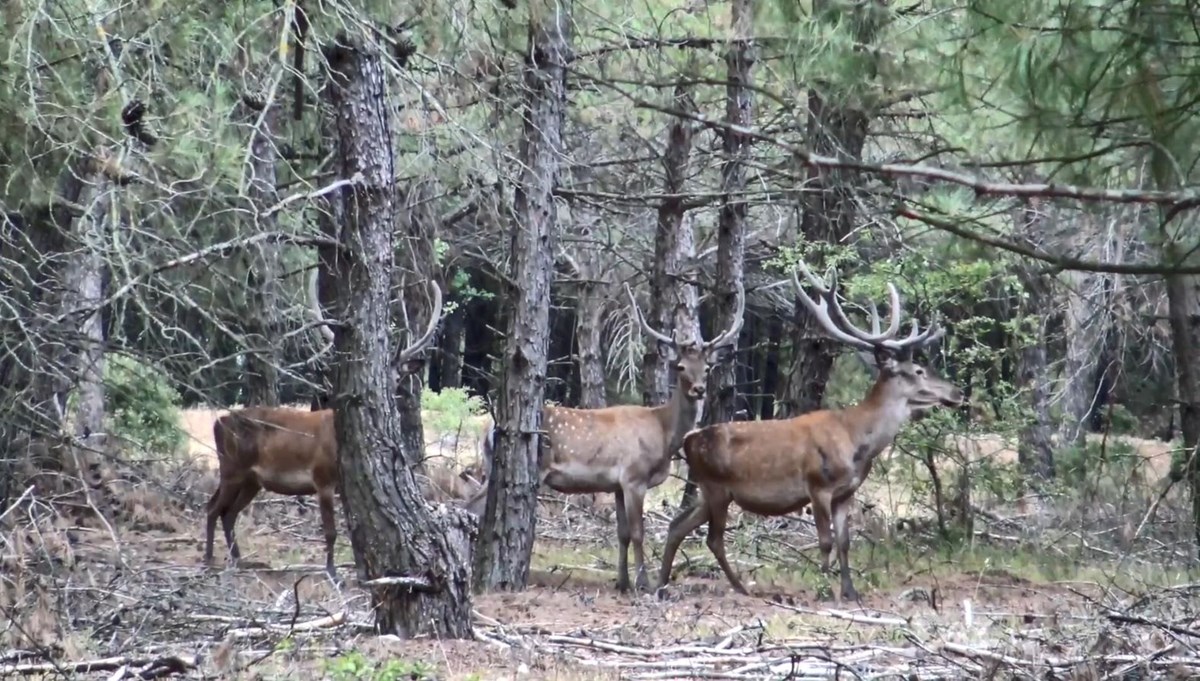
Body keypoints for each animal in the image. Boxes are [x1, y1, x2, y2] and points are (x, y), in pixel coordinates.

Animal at [202, 280, 458, 575]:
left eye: (397, 375)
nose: (386, 391)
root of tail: (218, 422)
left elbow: (353, 531)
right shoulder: (322, 478)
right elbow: (331, 532)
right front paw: (332, 571)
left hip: (250, 479)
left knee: (228, 512)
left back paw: (239, 560)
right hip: (232, 468)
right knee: (213, 508)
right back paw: (209, 559)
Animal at [472, 284, 744, 592]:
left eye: (707, 367)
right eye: (680, 366)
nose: (698, 389)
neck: (663, 434)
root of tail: (488, 429)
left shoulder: (616, 485)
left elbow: (622, 532)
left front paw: (622, 582)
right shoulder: (634, 476)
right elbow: (638, 531)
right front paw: (642, 583)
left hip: (491, 466)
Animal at [657, 260, 964, 601]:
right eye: (919, 371)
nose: (958, 392)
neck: (857, 441)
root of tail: (689, 440)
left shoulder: (846, 493)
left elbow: (844, 542)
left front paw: (850, 591)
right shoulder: (818, 486)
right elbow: (825, 541)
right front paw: (824, 589)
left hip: (707, 491)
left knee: (677, 525)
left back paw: (661, 583)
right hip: (716, 487)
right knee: (713, 538)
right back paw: (739, 587)